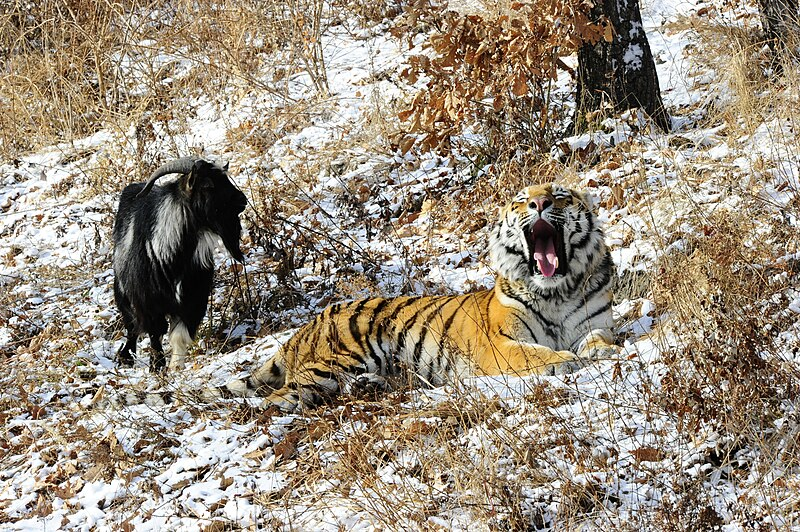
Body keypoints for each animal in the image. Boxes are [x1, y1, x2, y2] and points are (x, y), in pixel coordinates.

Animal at [111, 158, 245, 372]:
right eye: (207, 185)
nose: (242, 200)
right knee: (132, 325)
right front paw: (157, 365)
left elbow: (179, 334)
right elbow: (154, 332)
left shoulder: (193, 299)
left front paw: (175, 366)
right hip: (123, 293)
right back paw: (126, 357)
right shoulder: (147, 301)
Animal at [198, 183, 612, 412]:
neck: (556, 289)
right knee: (277, 397)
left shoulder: (594, 323)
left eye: (559, 196)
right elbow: (534, 354)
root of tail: (304, 327)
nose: (539, 205)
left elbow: (599, 339)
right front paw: (564, 360)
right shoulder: (500, 344)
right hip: (335, 361)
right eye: (522, 200)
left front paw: (601, 352)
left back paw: (370, 386)